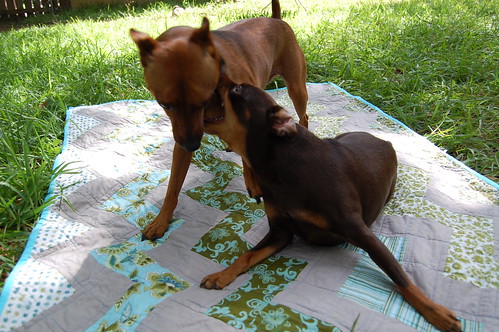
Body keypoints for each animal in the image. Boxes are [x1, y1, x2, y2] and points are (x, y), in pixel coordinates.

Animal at [130, 0, 308, 239]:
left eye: (203, 100)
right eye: (164, 105)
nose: (192, 145)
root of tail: (275, 19)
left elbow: (248, 159)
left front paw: (252, 182)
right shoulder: (181, 140)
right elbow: (173, 186)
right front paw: (161, 220)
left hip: (297, 87)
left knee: (304, 115)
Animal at [201, 78, 462, 332]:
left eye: (237, 89)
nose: (218, 75)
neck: (280, 171)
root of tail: (385, 140)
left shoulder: (363, 234)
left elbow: (399, 274)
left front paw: (435, 311)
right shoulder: (280, 233)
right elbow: (246, 256)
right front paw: (221, 275)